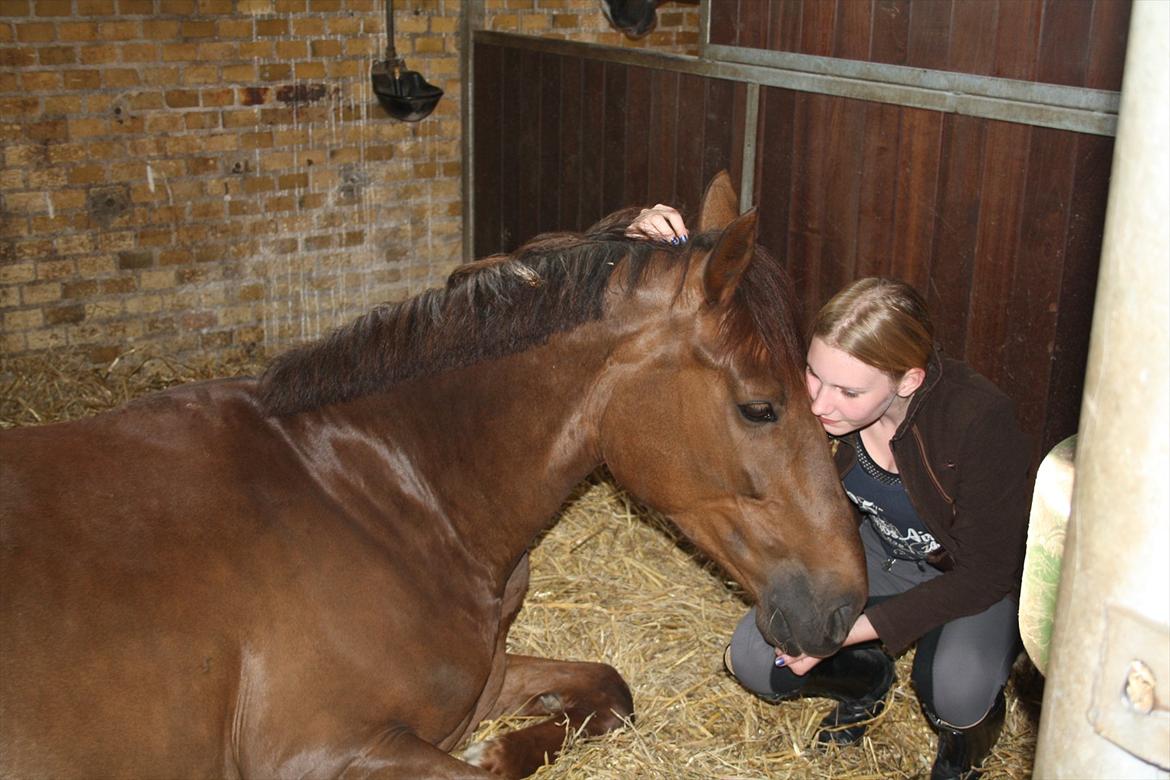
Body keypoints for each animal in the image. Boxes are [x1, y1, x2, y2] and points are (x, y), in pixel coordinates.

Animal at [2, 174, 870, 776]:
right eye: (760, 407)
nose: (845, 606)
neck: (384, 493)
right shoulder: (317, 751)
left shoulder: (484, 680)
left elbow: (610, 690)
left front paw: (510, 744)